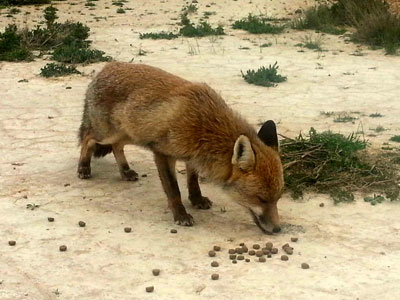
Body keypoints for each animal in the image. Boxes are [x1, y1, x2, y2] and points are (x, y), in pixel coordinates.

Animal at [78, 62, 284, 233]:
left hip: (129, 134)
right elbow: (173, 190)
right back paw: (84, 167)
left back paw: (125, 171)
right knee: (88, 139)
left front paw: (197, 200)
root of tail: (105, 67)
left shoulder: (192, 156)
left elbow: (193, 182)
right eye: (261, 199)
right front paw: (181, 215)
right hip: (107, 133)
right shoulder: (162, 153)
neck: (206, 126)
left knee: (116, 147)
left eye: (277, 198)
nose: (277, 229)